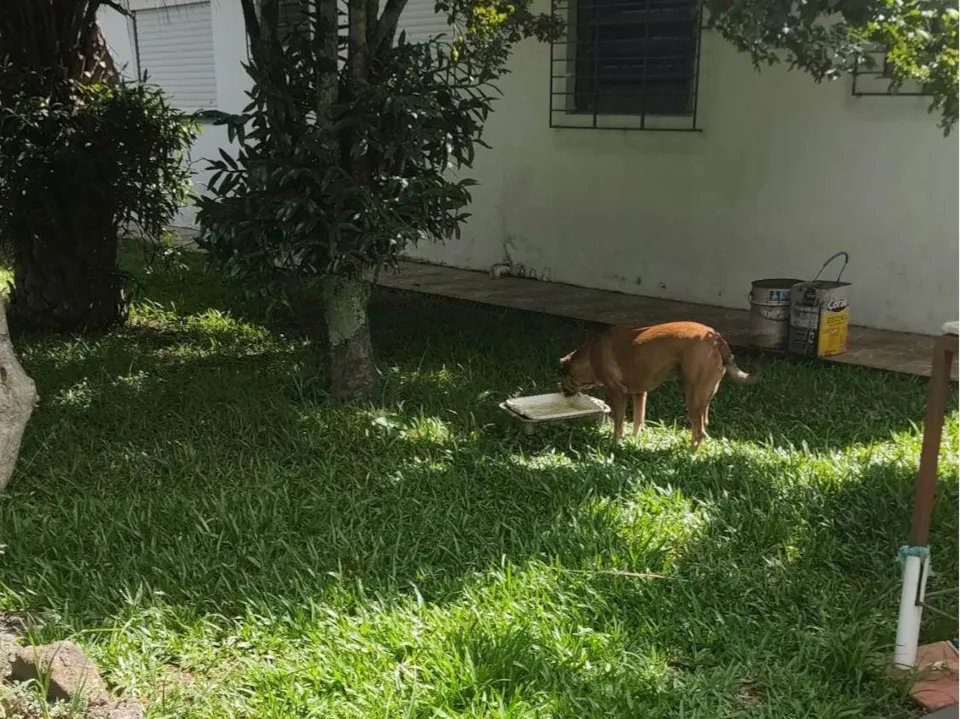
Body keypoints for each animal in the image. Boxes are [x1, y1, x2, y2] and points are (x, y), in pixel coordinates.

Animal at [558, 321, 761, 448]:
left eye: (562, 377)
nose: (561, 389)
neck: (590, 356)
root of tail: (716, 339)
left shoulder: (618, 394)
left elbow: (619, 423)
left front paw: (616, 443)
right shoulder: (640, 393)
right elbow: (638, 420)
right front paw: (635, 440)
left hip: (693, 395)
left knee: (699, 431)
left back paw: (690, 455)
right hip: (705, 395)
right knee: (704, 424)